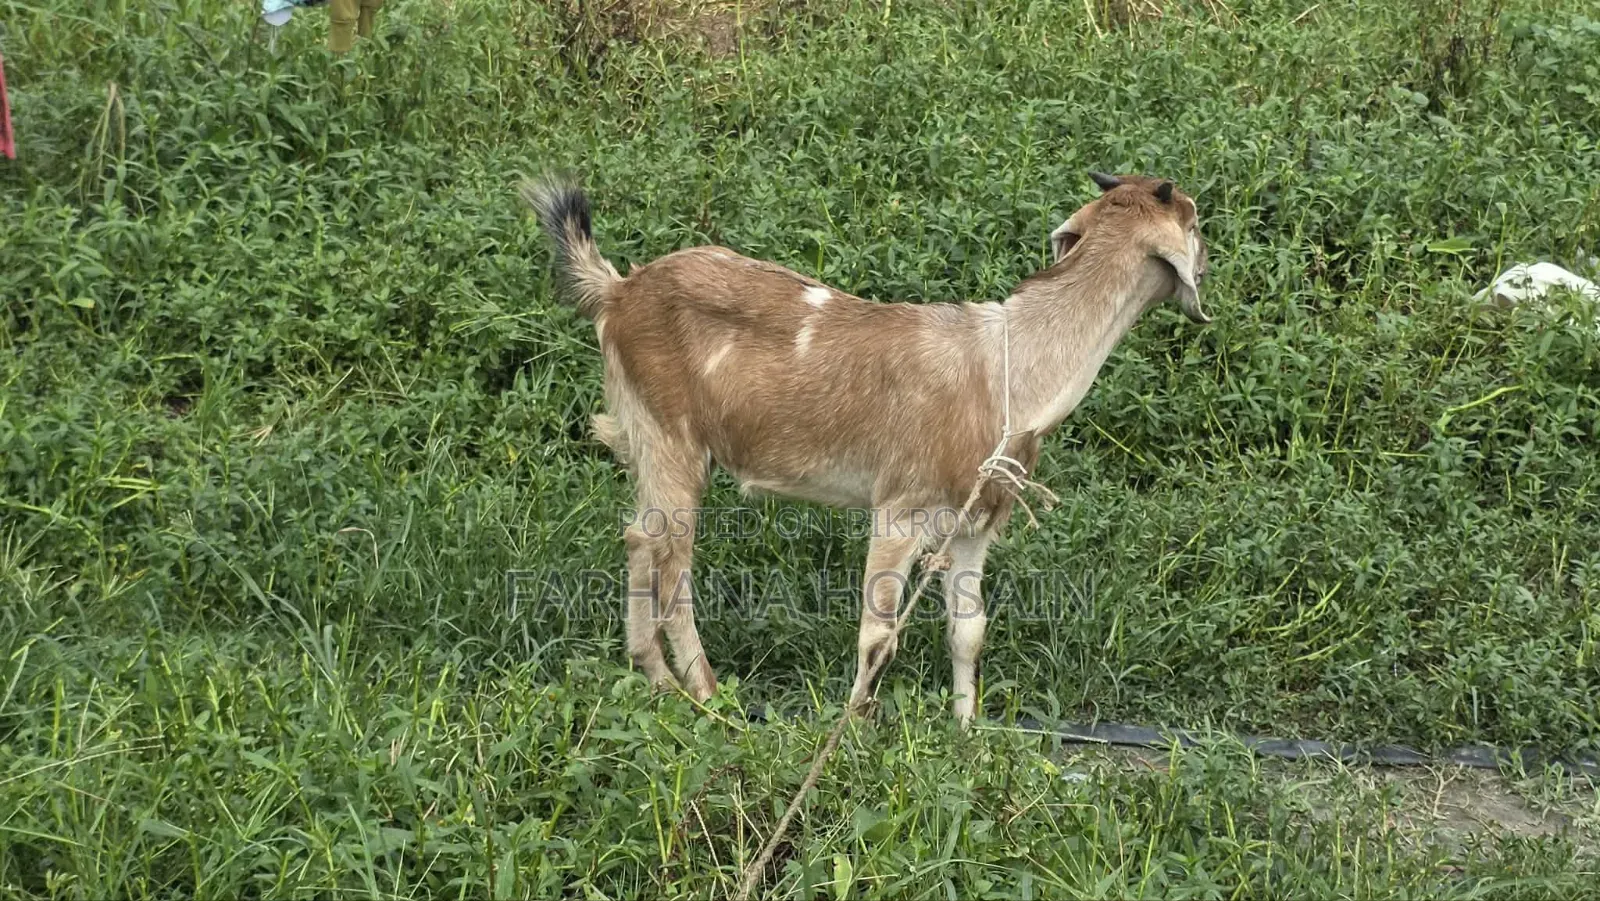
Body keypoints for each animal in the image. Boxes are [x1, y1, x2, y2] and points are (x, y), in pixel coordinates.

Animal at [521, 171, 1211, 725]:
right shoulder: (900, 509)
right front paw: (855, 730)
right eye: (1196, 223)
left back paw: (657, 678)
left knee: (641, 536)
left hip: (648, 439)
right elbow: (879, 635)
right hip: (673, 438)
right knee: (673, 566)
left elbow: (969, 631)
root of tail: (617, 292)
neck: (1008, 368)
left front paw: (966, 734)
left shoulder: (976, 523)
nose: (1207, 270)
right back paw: (708, 693)